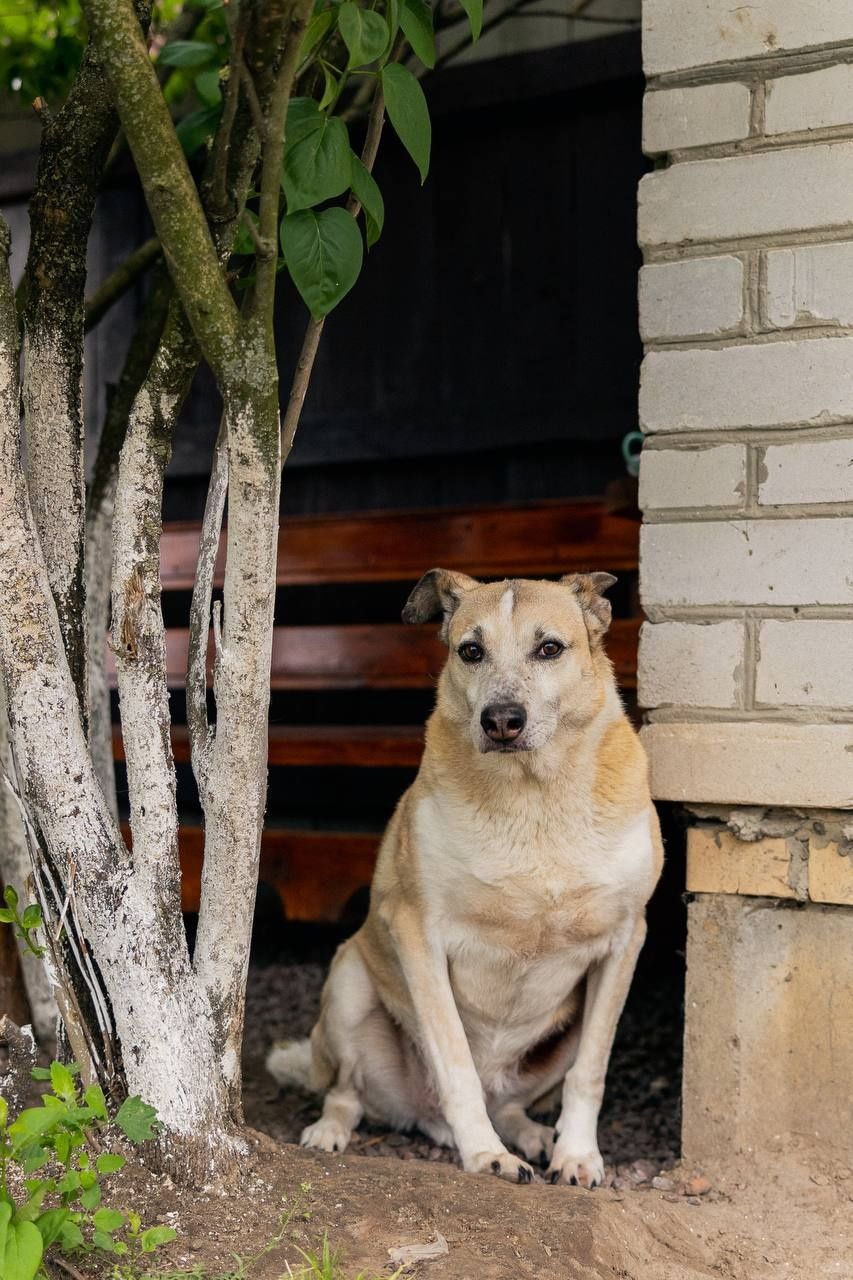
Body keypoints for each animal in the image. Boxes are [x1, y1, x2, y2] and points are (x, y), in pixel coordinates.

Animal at [266, 570, 655, 1187]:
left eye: (550, 648)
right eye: (471, 651)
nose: (501, 720)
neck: (535, 797)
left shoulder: (623, 941)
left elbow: (591, 1070)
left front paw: (577, 1155)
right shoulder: (417, 932)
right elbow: (454, 1060)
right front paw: (485, 1154)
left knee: (514, 1103)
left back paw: (532, 1135)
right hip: (350, 981)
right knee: (346, 1094)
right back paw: (333, 1132)